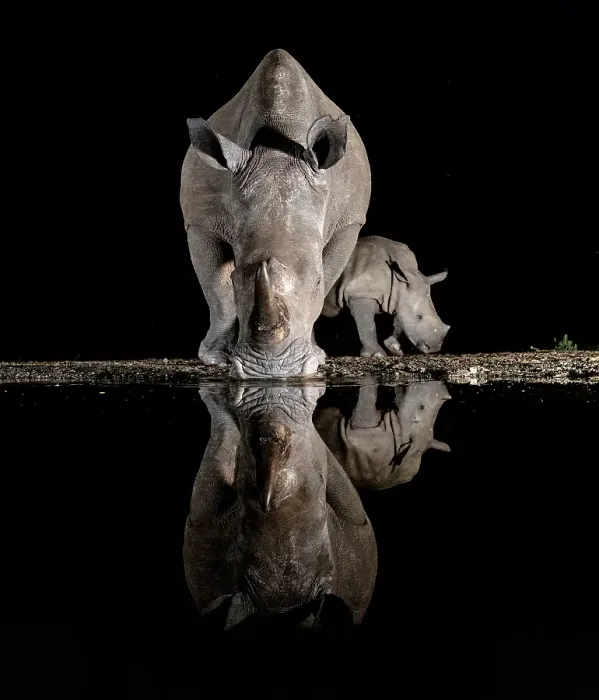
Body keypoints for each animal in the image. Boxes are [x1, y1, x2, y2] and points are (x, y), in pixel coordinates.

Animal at [180, 49, 371, 378]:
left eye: (317, 280)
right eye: (237, 280)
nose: (272, 370)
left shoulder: (349, 223)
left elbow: (323, 287)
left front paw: (316, 356)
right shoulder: (201, 221)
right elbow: (217, 290)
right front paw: (214, 358)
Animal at [320, 235, 450, 356]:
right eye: (419, 317)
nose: (434, 348)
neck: (400, 281)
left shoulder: (397, 297)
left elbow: (398, 321)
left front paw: (394, 348)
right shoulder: (360, 294)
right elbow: (368, 324)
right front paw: (376, 354)